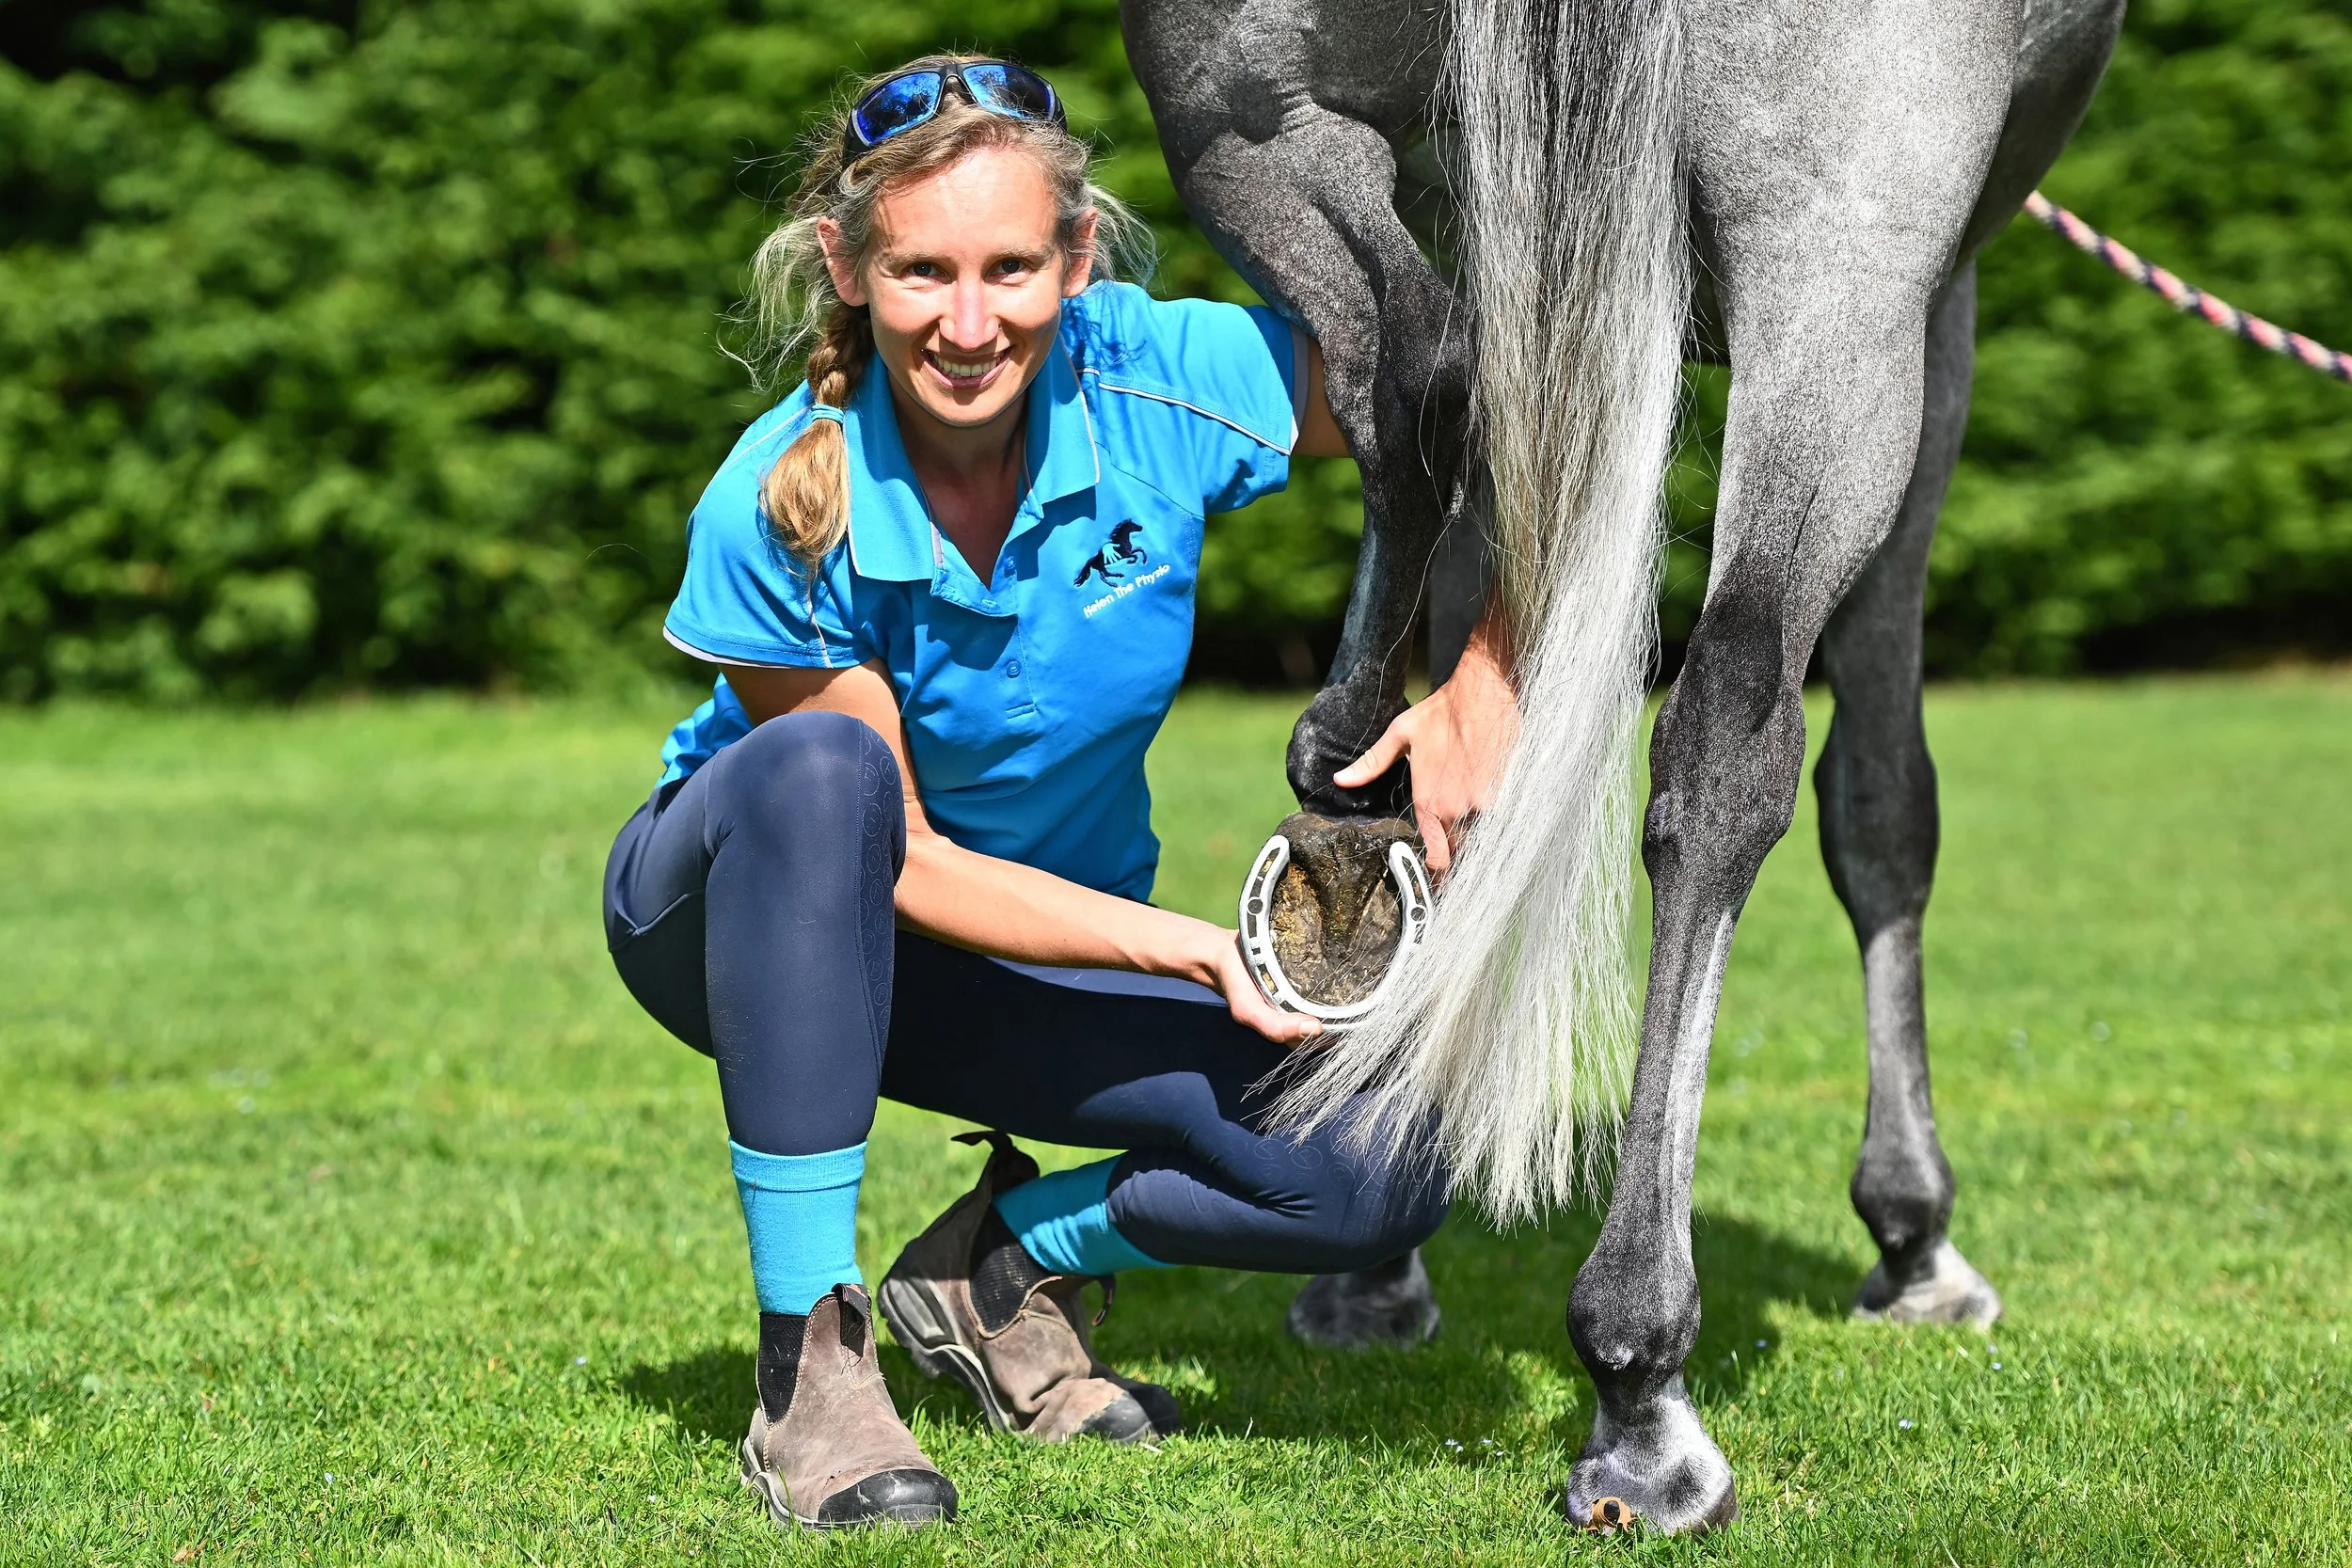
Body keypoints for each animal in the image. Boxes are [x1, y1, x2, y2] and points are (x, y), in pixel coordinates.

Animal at [1122, 0, 2125, 1531]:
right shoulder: (1940, 297)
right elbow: (1882, 803)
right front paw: (1912, 1235)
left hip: (1246, 126)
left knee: (1420, 375)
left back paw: (1347, 827)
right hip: (1838, 264)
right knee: (1726, 745)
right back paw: (1641, 1386)